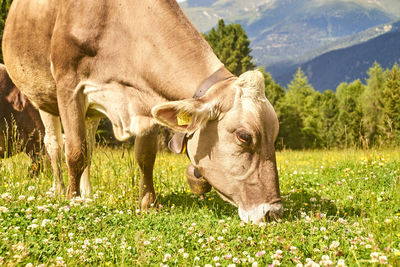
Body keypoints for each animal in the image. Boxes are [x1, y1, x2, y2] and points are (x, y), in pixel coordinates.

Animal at [4, 0, 282, 223]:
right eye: (244, 136)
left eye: (274, 135)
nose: (274, 212)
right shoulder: (68, 86)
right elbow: (75, 151)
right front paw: (71, 200)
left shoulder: (144, 101)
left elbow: (145, 156)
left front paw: (149, 203)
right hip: (43, 98)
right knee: (55, 145)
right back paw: (61, 190)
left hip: (91, 113)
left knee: (90, 148)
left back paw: (88, 194)